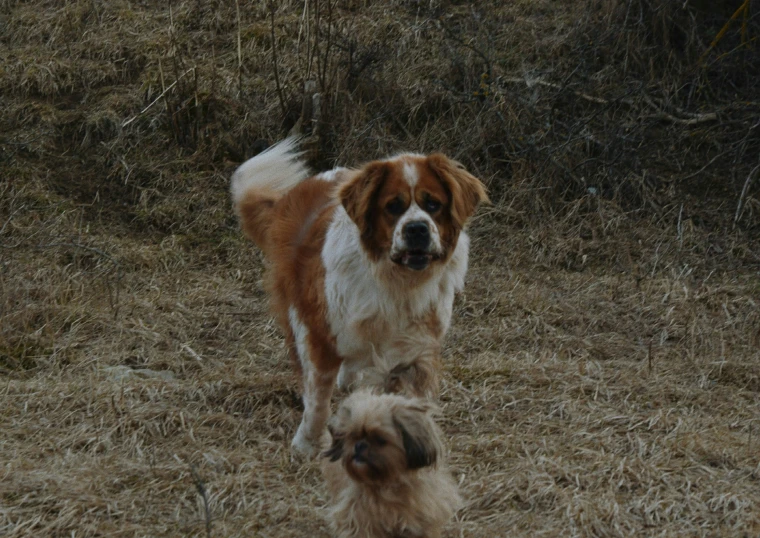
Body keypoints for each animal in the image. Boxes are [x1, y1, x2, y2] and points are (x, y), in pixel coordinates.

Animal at [230, 137, 486, 452]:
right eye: (393, 206)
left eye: (433, 204)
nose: (417, 229)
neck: (394, 283)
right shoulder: (319, 335)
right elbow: (318, 398)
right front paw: (309, 444)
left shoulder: (415, 351)